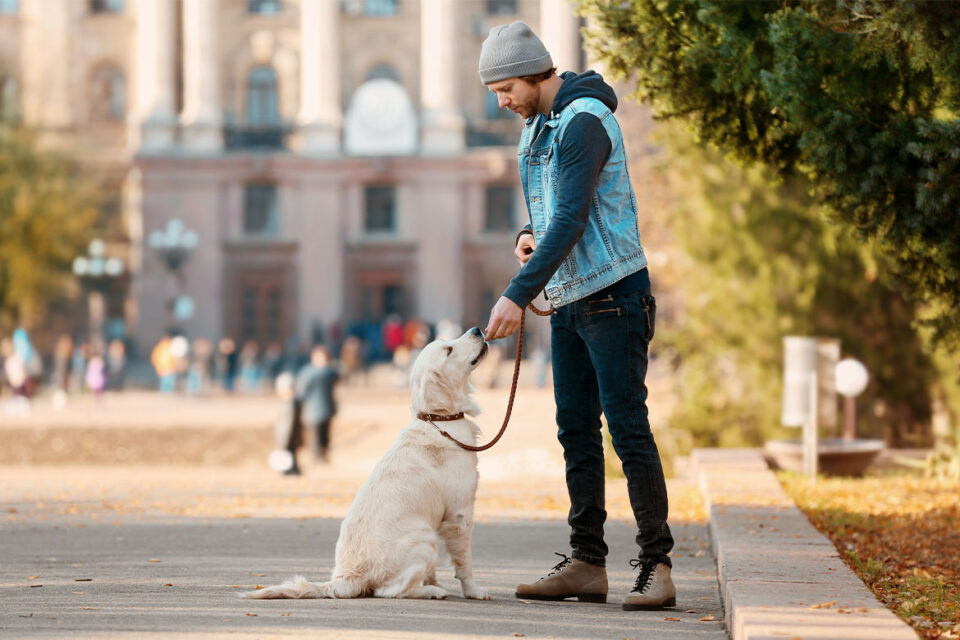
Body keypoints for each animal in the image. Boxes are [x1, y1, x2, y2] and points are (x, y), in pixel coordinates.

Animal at [244, 328, 492, 604]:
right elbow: (464, 562)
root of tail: (347, 577)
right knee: (391, 591)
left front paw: (437, 581)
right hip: (424, 538)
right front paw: (473, 590)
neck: (440, 421)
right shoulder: (460, 514)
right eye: (448, 350)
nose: (477, 330)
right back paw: (432, 592)